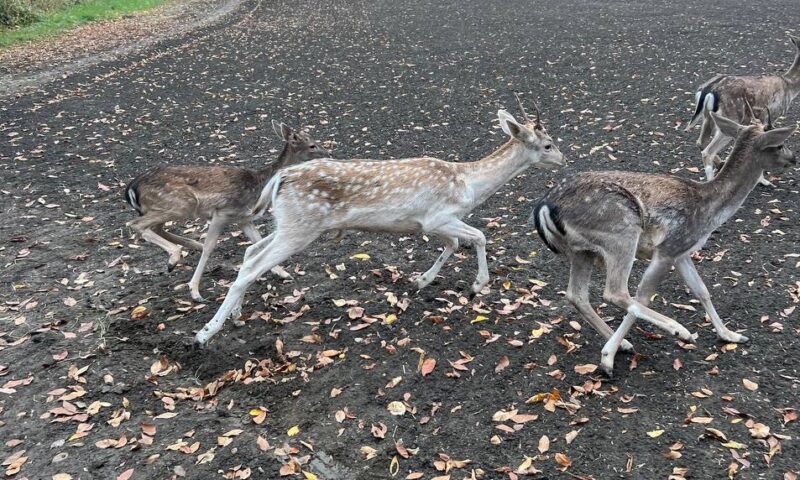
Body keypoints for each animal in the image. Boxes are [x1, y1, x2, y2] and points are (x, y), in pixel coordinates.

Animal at [124, 122, 328, 302]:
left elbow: (258, 242)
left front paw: (283, 273)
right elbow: (210, 247)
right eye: (312, 144)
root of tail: (131, 189)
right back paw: (174, 257)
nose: (328, 154)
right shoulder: (222, 212)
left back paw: (190, 247)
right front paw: (195, 291)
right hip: (181, 203)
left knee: (155, 227)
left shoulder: (243, 219)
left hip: (169, 207)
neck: (258, 187)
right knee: (135, 224)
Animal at [195, 99, 564, 344]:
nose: (562, 158)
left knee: (250, 254)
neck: (469, 186)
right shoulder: (437, 217)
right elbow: (479, 237)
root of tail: (280, 177)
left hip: (289, 223)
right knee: (251, 267)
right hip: (300, 225)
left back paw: (236, 317)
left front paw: (421, 281)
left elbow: (455, 243)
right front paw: (477, 285)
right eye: (548, 144)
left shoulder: (437, 224)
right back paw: (205, 333)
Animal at [532, 111, 792, 376]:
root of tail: (544, 207)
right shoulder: (668, 248)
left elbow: (702, 290)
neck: (709, 211)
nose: (792, 158)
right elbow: (643, 295)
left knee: (577, 295)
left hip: (582, 250)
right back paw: (677, 330)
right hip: (622, 232)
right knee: (615, 292)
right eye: (779, 144)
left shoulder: (683, 251)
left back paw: (624, 343)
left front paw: (731, 335)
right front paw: (607, 357)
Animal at [680, 31, 800, 182]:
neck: (789, 86)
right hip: (730, 117)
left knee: (701, 142)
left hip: (708, 117)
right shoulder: (770, 114)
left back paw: (721, 164)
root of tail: (708, 90)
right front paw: (762, 179)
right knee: (708, 151)